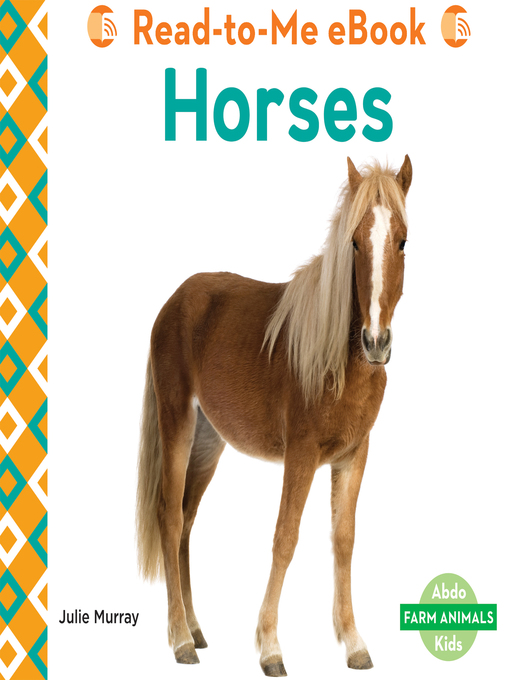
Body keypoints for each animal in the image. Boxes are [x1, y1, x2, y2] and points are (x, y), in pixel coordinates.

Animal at [136, 156, 412, 675]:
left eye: (402, 240)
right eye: (354, 242)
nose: (376, 342)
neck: (336, 359)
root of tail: (176, 301)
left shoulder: (354, 456)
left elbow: (343, 540)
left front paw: (354, 642)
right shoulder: (300, 455)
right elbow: (285, 538)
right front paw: (270, 647)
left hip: (209, 441)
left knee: (186, 520)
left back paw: (196, 629)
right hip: (178, 423)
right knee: (168, 517)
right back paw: (180, 639)